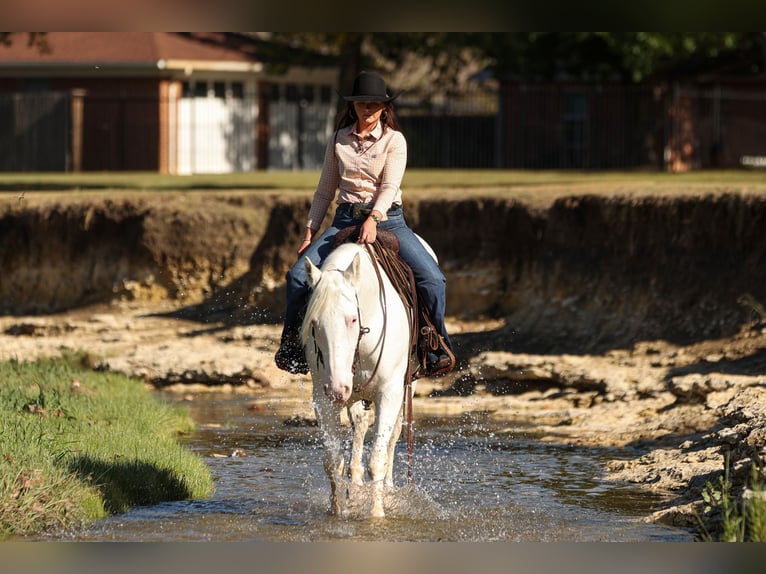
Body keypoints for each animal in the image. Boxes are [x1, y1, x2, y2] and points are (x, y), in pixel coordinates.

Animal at [304, 241, 416, 520]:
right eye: (314, 323)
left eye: (352, 319)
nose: (337, 388)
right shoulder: (322, 398)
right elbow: (333, 460)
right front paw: (337, 510)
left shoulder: (390, 392)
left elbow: (377, 458)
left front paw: (376, 513)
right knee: (361, 425)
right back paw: (354, 486)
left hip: (407, 389)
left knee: (393, 437)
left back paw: (388, 490)